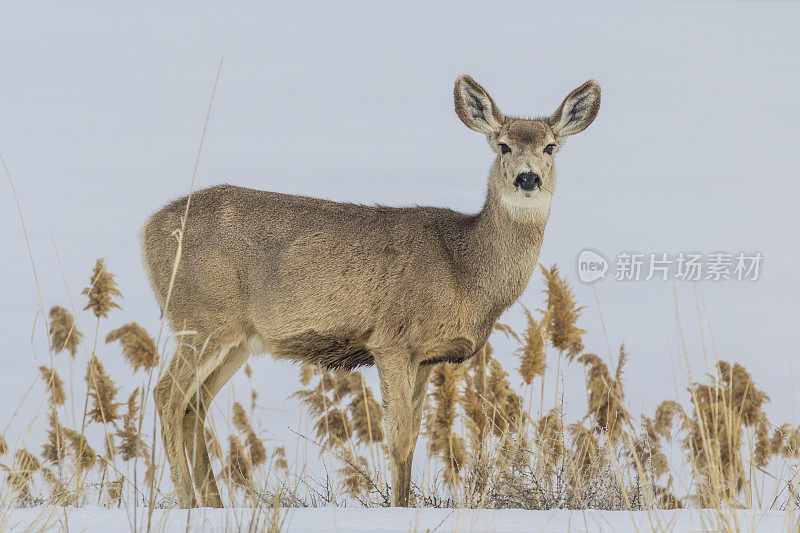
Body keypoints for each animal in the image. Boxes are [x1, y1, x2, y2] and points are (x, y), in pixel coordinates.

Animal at [142, 75, 600, 508]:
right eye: (503, 146)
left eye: (551, 147)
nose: (528, 177)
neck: (464, 268)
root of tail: (147, 230)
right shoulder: (392, 341)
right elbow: (397, 438)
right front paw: (397, 508)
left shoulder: (426, 357)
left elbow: (413, 438)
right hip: (202, 319)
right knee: (168, 395)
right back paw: (187, 502)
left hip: (236, 339)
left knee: (194, 404)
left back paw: (212, 505)